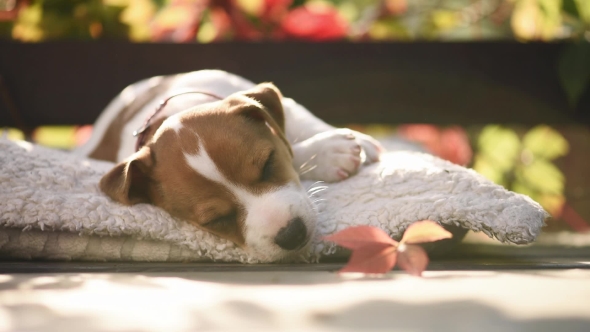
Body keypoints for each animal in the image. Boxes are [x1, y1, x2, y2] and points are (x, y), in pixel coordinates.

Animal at [76, 69, 384, 262]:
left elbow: (298, 127)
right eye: (216, 220)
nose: (292, 235)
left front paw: (347, 143)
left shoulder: (280, 105)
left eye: (268, 164)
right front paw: (331, 152)